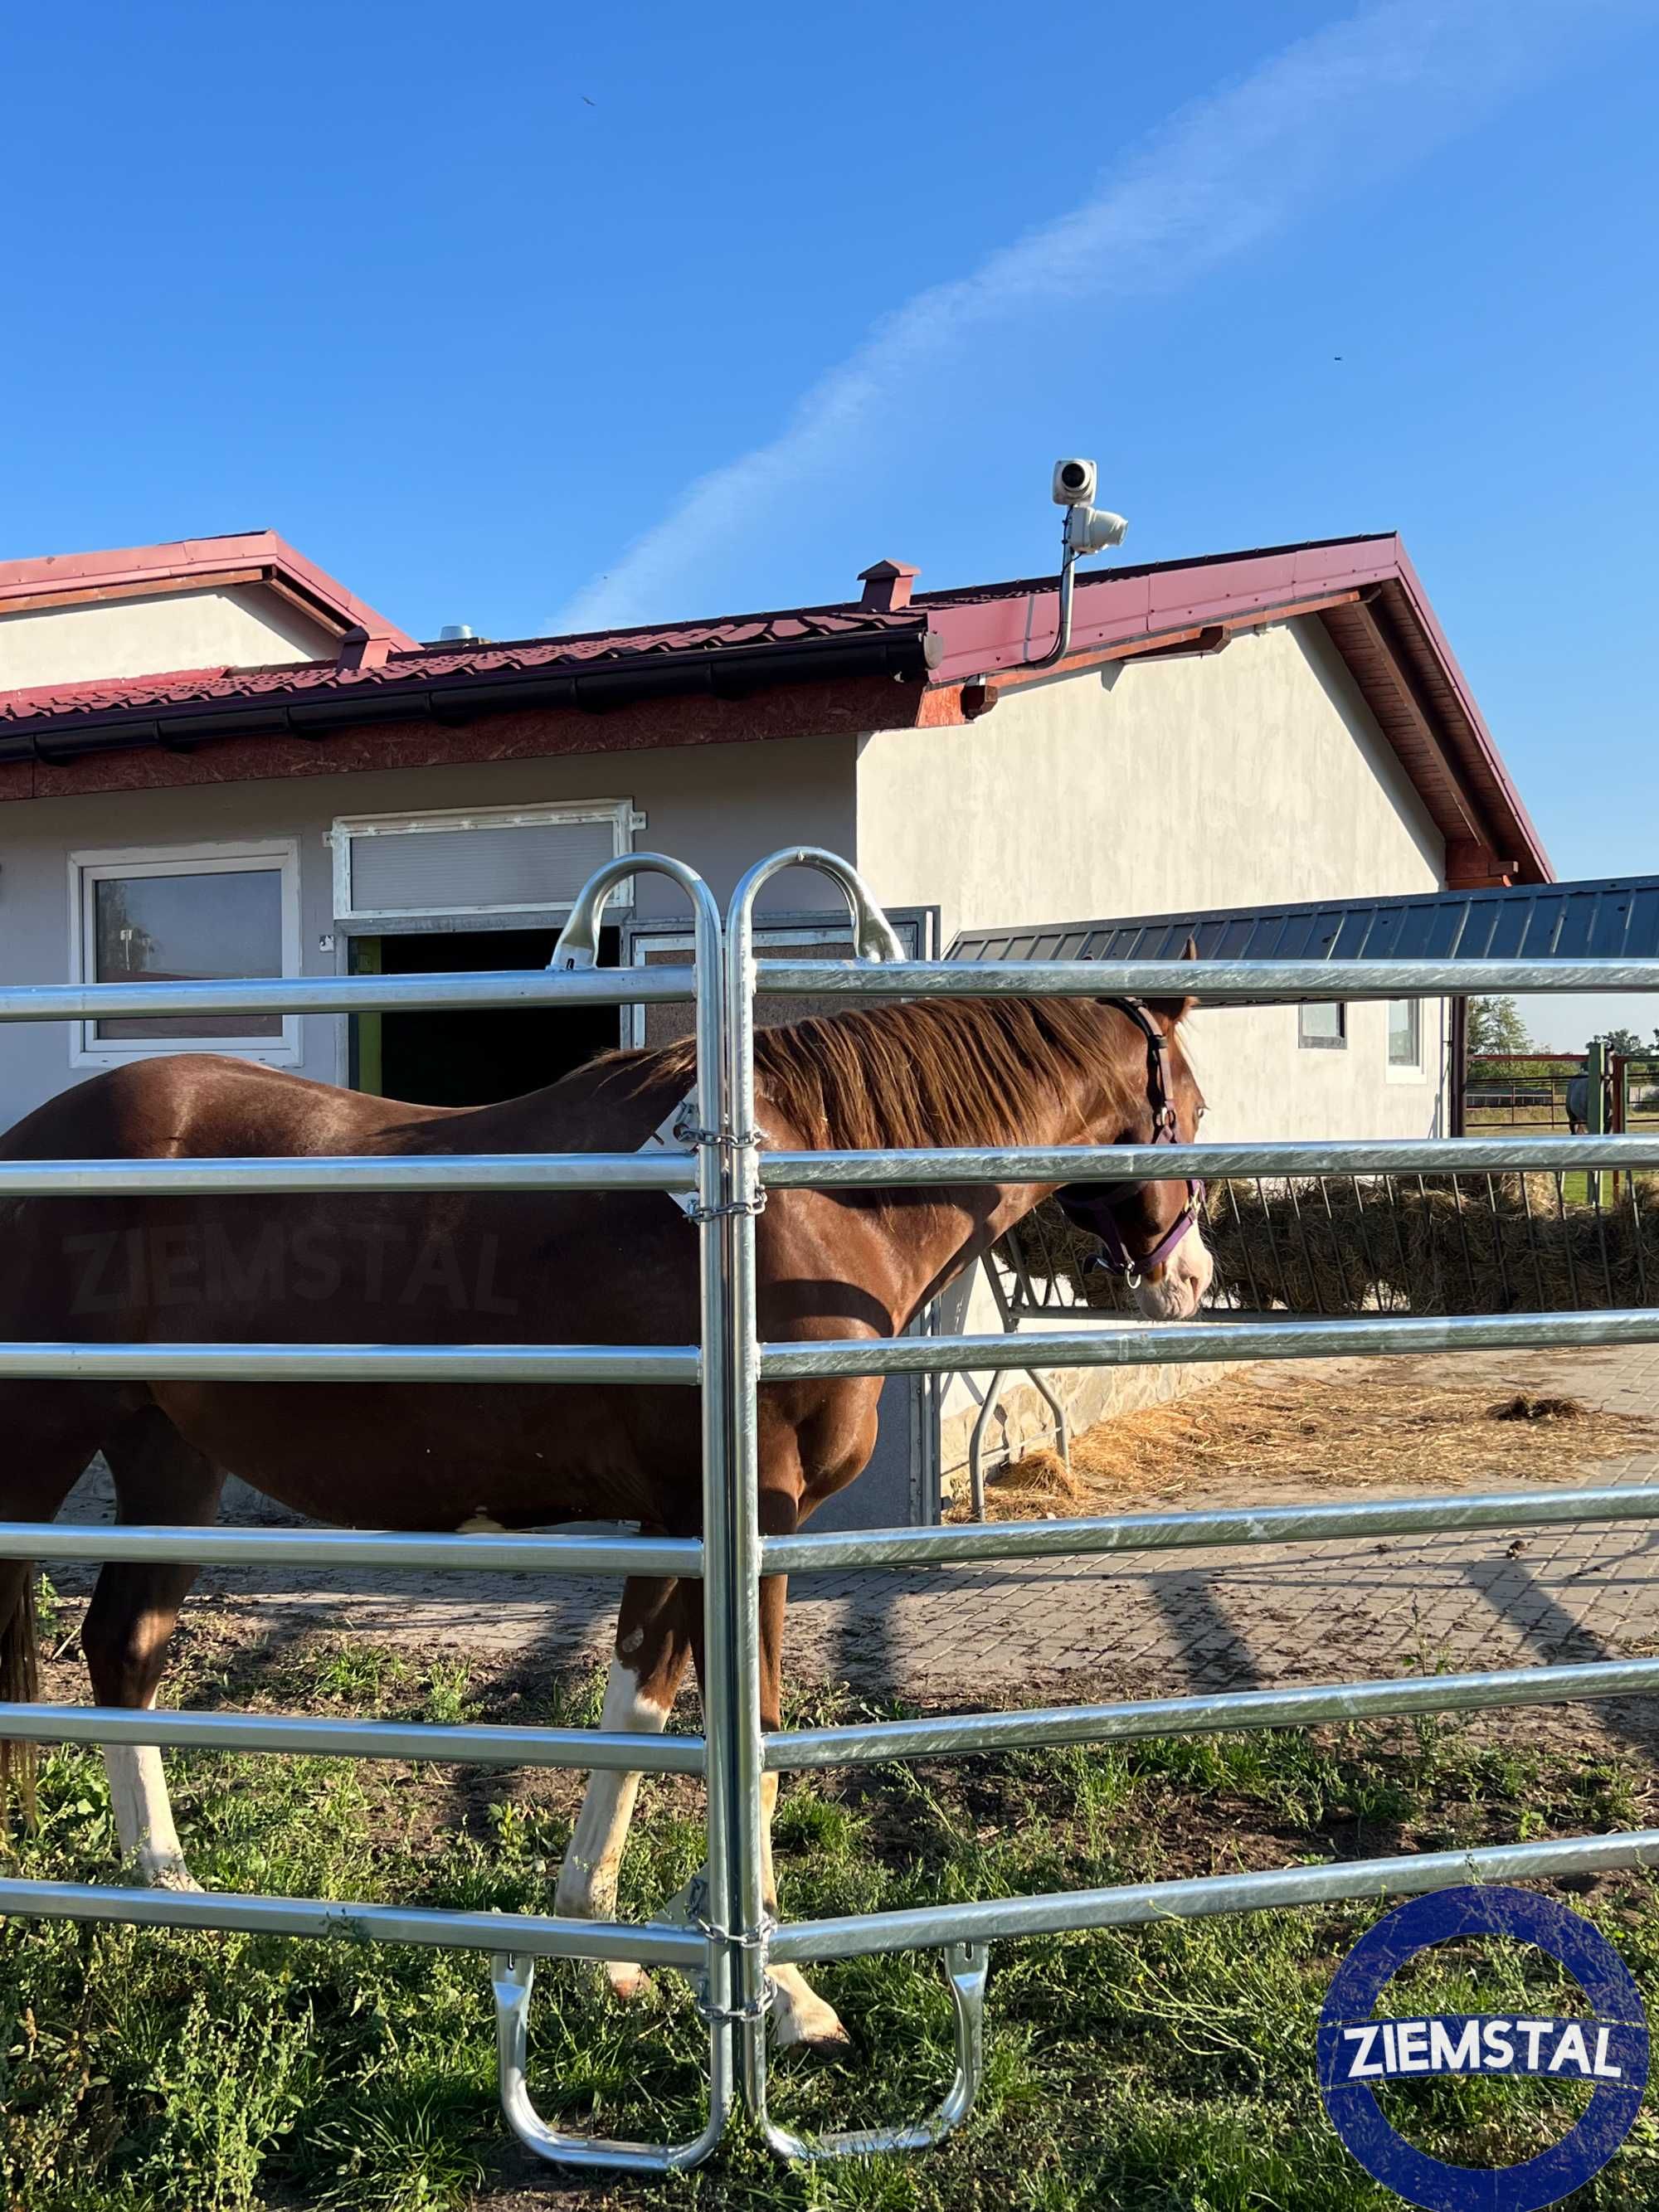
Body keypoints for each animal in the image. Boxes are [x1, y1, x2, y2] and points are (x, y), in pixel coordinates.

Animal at [0, 995, 1212, 2044]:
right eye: (1193, 1110)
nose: (1191, 1278)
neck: (793, 1209)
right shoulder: (750, 1517)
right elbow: (745, 1725)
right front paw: (786, 1993)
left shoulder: (687, 1523)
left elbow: (645, 1703)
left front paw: (606, 1944)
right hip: (45, 1446)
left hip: (170, 1457)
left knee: (125, 1646)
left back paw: (170, 1894)